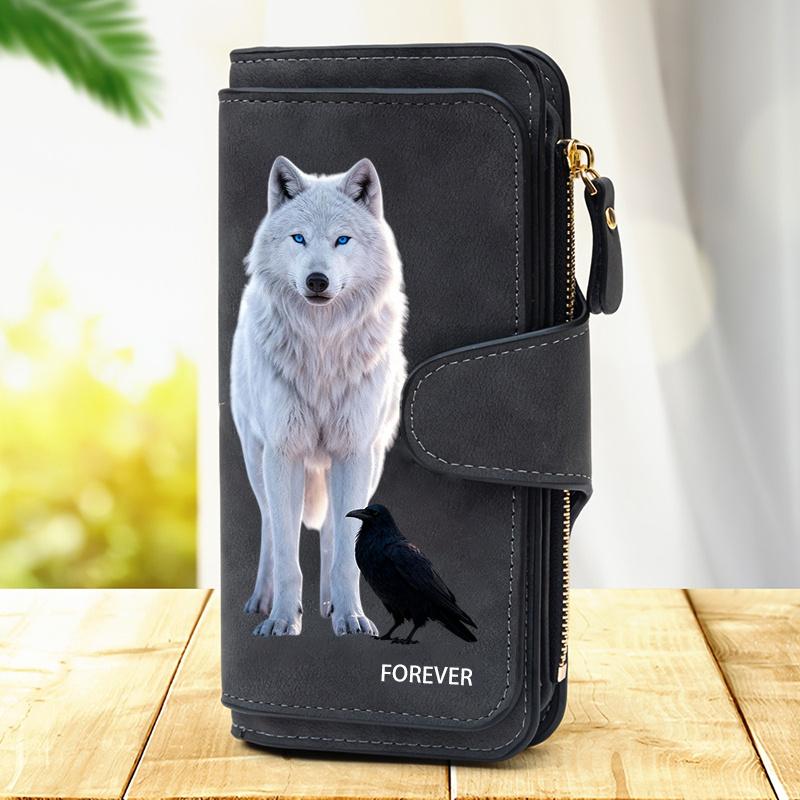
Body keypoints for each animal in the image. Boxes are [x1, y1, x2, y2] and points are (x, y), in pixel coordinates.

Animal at [230, 155, 407, 638]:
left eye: (341, 239)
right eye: (299, 238)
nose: (316, 280)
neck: (322, 347)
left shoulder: (353, 453)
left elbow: (346, 555)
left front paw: (351, 618)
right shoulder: (284, 453)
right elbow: (288, 555)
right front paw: (281, 621)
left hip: (367, 464)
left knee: (331, 535)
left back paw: (330, 604)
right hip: (256, 461)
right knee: (270, 528)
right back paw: (261, 601)